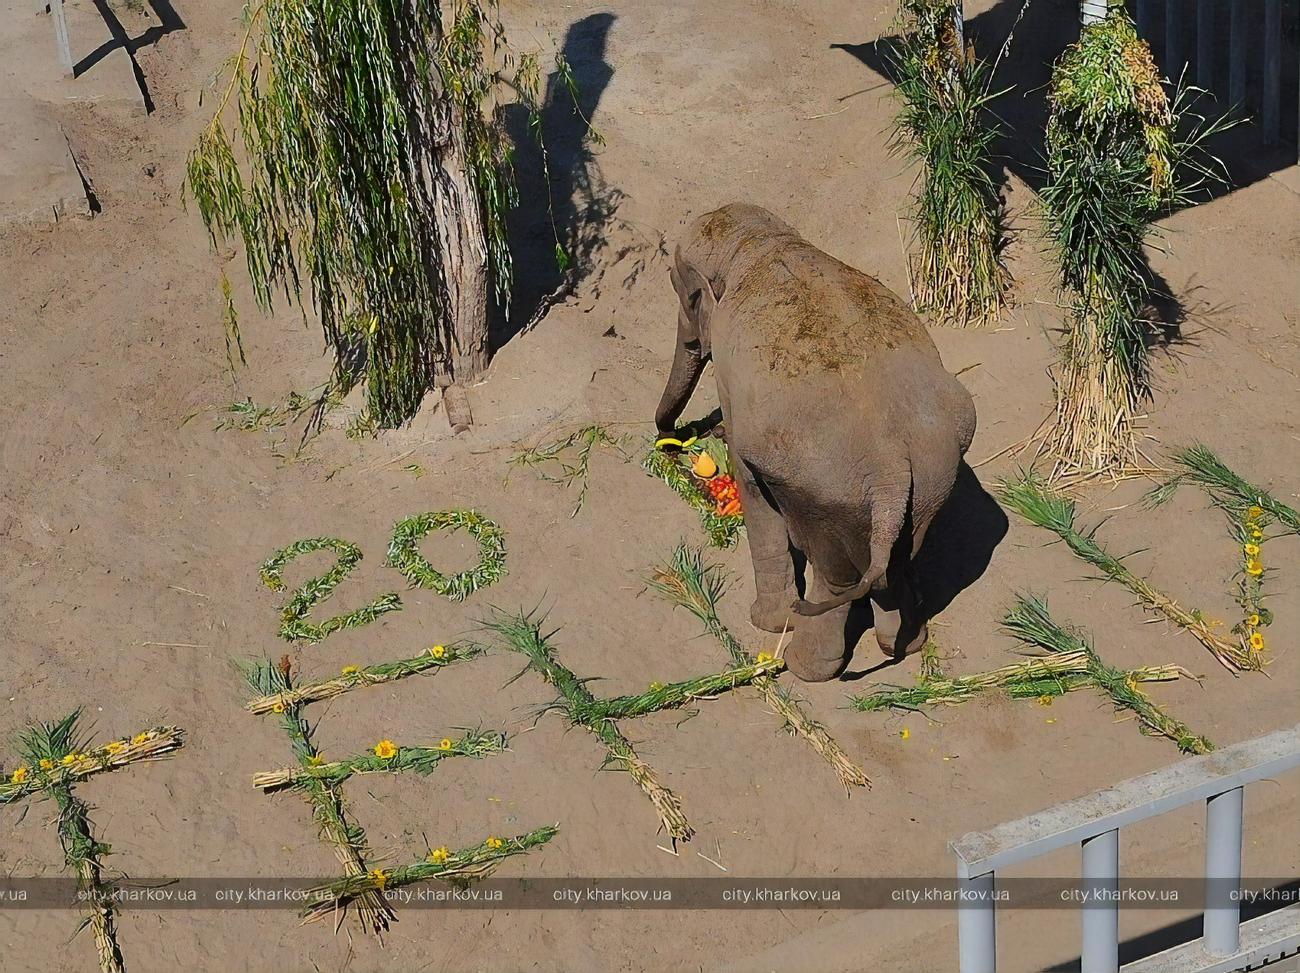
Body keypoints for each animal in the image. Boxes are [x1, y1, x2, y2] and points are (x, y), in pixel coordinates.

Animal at [655, 201, 972, 681]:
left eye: (681, 293)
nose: (672, 435)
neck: (759, 242)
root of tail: (890, 464)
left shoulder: (731, 372)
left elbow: (749, 480)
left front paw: (769, 623)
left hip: (825, 495)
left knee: (835, 574)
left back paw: (805, 666)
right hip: (932, 481)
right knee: (896, 564)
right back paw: (901, 644)